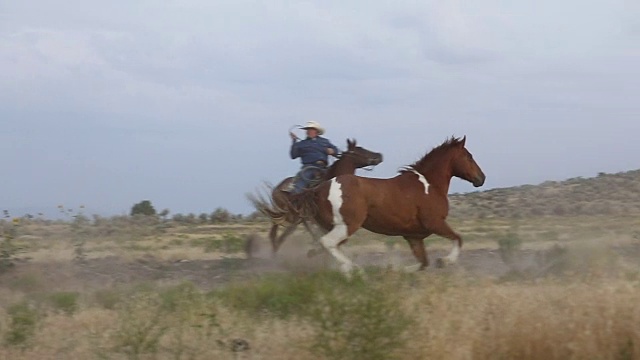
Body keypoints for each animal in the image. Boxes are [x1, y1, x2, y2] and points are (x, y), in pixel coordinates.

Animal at [248, 139, 382, 256]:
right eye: (360, 149)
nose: (379, 155)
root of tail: (278, 187)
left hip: (297, 219)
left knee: (282, 236)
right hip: (288, 215)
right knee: (274, 235)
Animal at [262, 136, 482, 274]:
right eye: (469, 156)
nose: (481, 178)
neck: (429, 185)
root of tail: (316, 190)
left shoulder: (413, 236)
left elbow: (423, 263)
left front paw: (395, 270)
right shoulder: (435, 223)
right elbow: (458, 239)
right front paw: (444, 261)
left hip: (330, 226)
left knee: (323, 245)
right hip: (348, 225)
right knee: (327, 243)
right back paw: (352, 269)